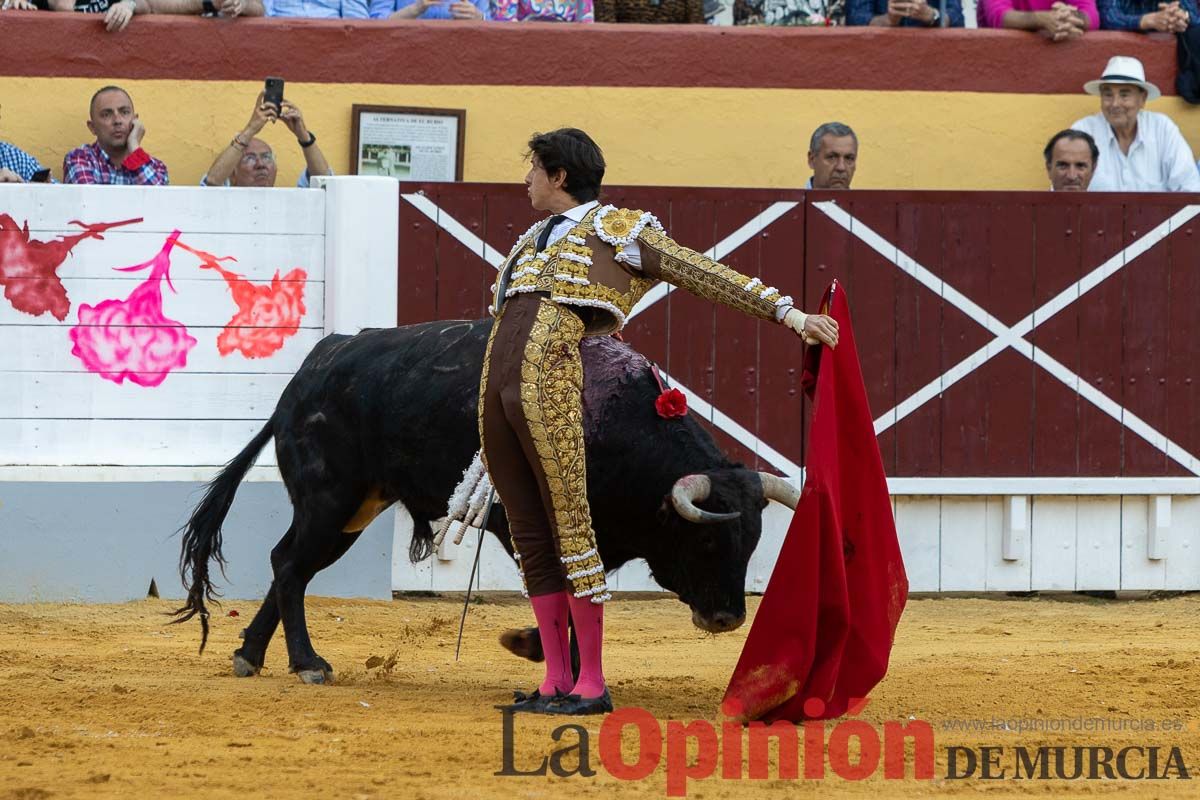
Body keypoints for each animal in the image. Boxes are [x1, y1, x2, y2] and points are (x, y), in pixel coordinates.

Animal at [171, 316, 796, 681]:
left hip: (353, 508)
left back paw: (252, 656)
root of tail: (308, 374)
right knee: (290, 565)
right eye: (709, 540)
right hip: (330, 499)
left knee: (290, 566)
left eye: (753, 543)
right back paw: (306, 663)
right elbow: (563, 595)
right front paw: (544, 654)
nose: (727, 617)